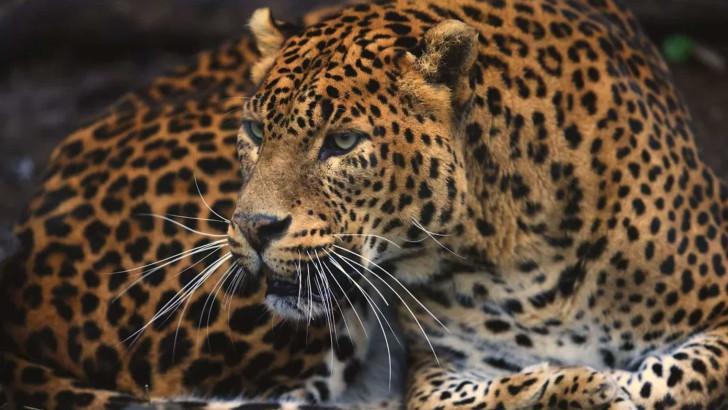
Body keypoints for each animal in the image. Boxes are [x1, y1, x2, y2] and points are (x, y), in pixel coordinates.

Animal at [226, 0, 728, 409]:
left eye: (343, 142)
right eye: (255, 131)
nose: (253, 227)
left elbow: (677, 379)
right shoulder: (441, 366)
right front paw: (576, 388)